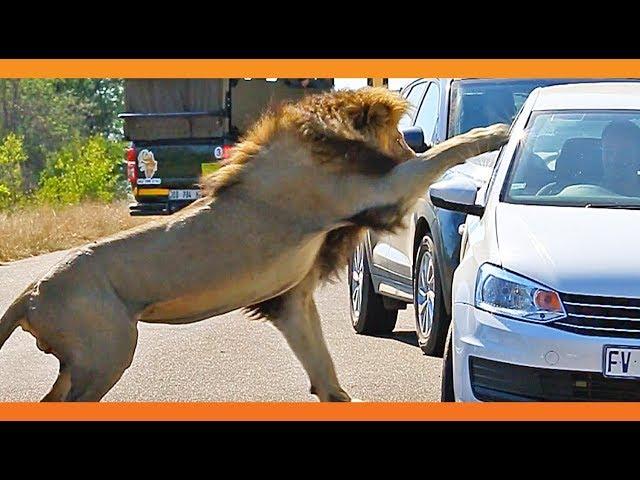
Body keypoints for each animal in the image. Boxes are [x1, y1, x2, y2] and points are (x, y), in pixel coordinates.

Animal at [0, 87, 510, 402]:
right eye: (402, 138)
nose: (411, 143)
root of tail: (30, 293)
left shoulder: (290, 299)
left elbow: (324, 372)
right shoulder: (377, 190)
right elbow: (442, 154)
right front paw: (496, 133)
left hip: (84, 361)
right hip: (107, 351)